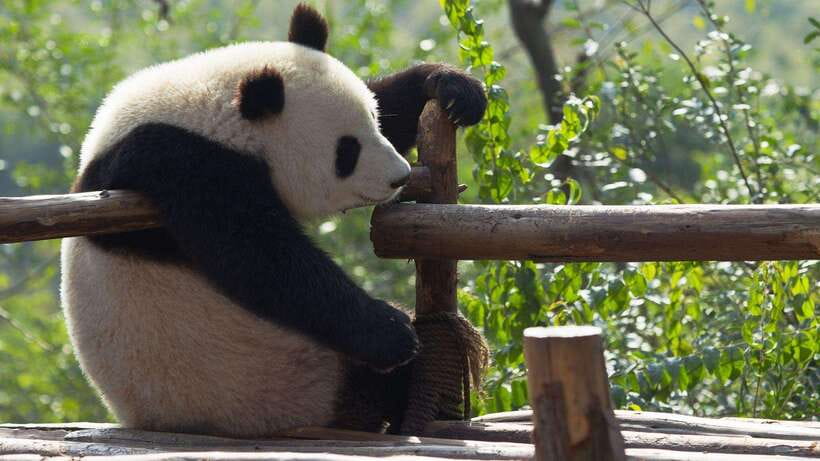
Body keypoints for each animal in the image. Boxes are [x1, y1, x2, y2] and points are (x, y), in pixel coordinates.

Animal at [60, 4, 486, 437]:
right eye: (346, 152)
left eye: (374, 120)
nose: (399, 177)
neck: (212, 112)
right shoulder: (183, 162)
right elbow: (261, 259)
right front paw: (392, 332)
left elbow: (395, 100)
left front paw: (453, 89)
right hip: (287, 382)